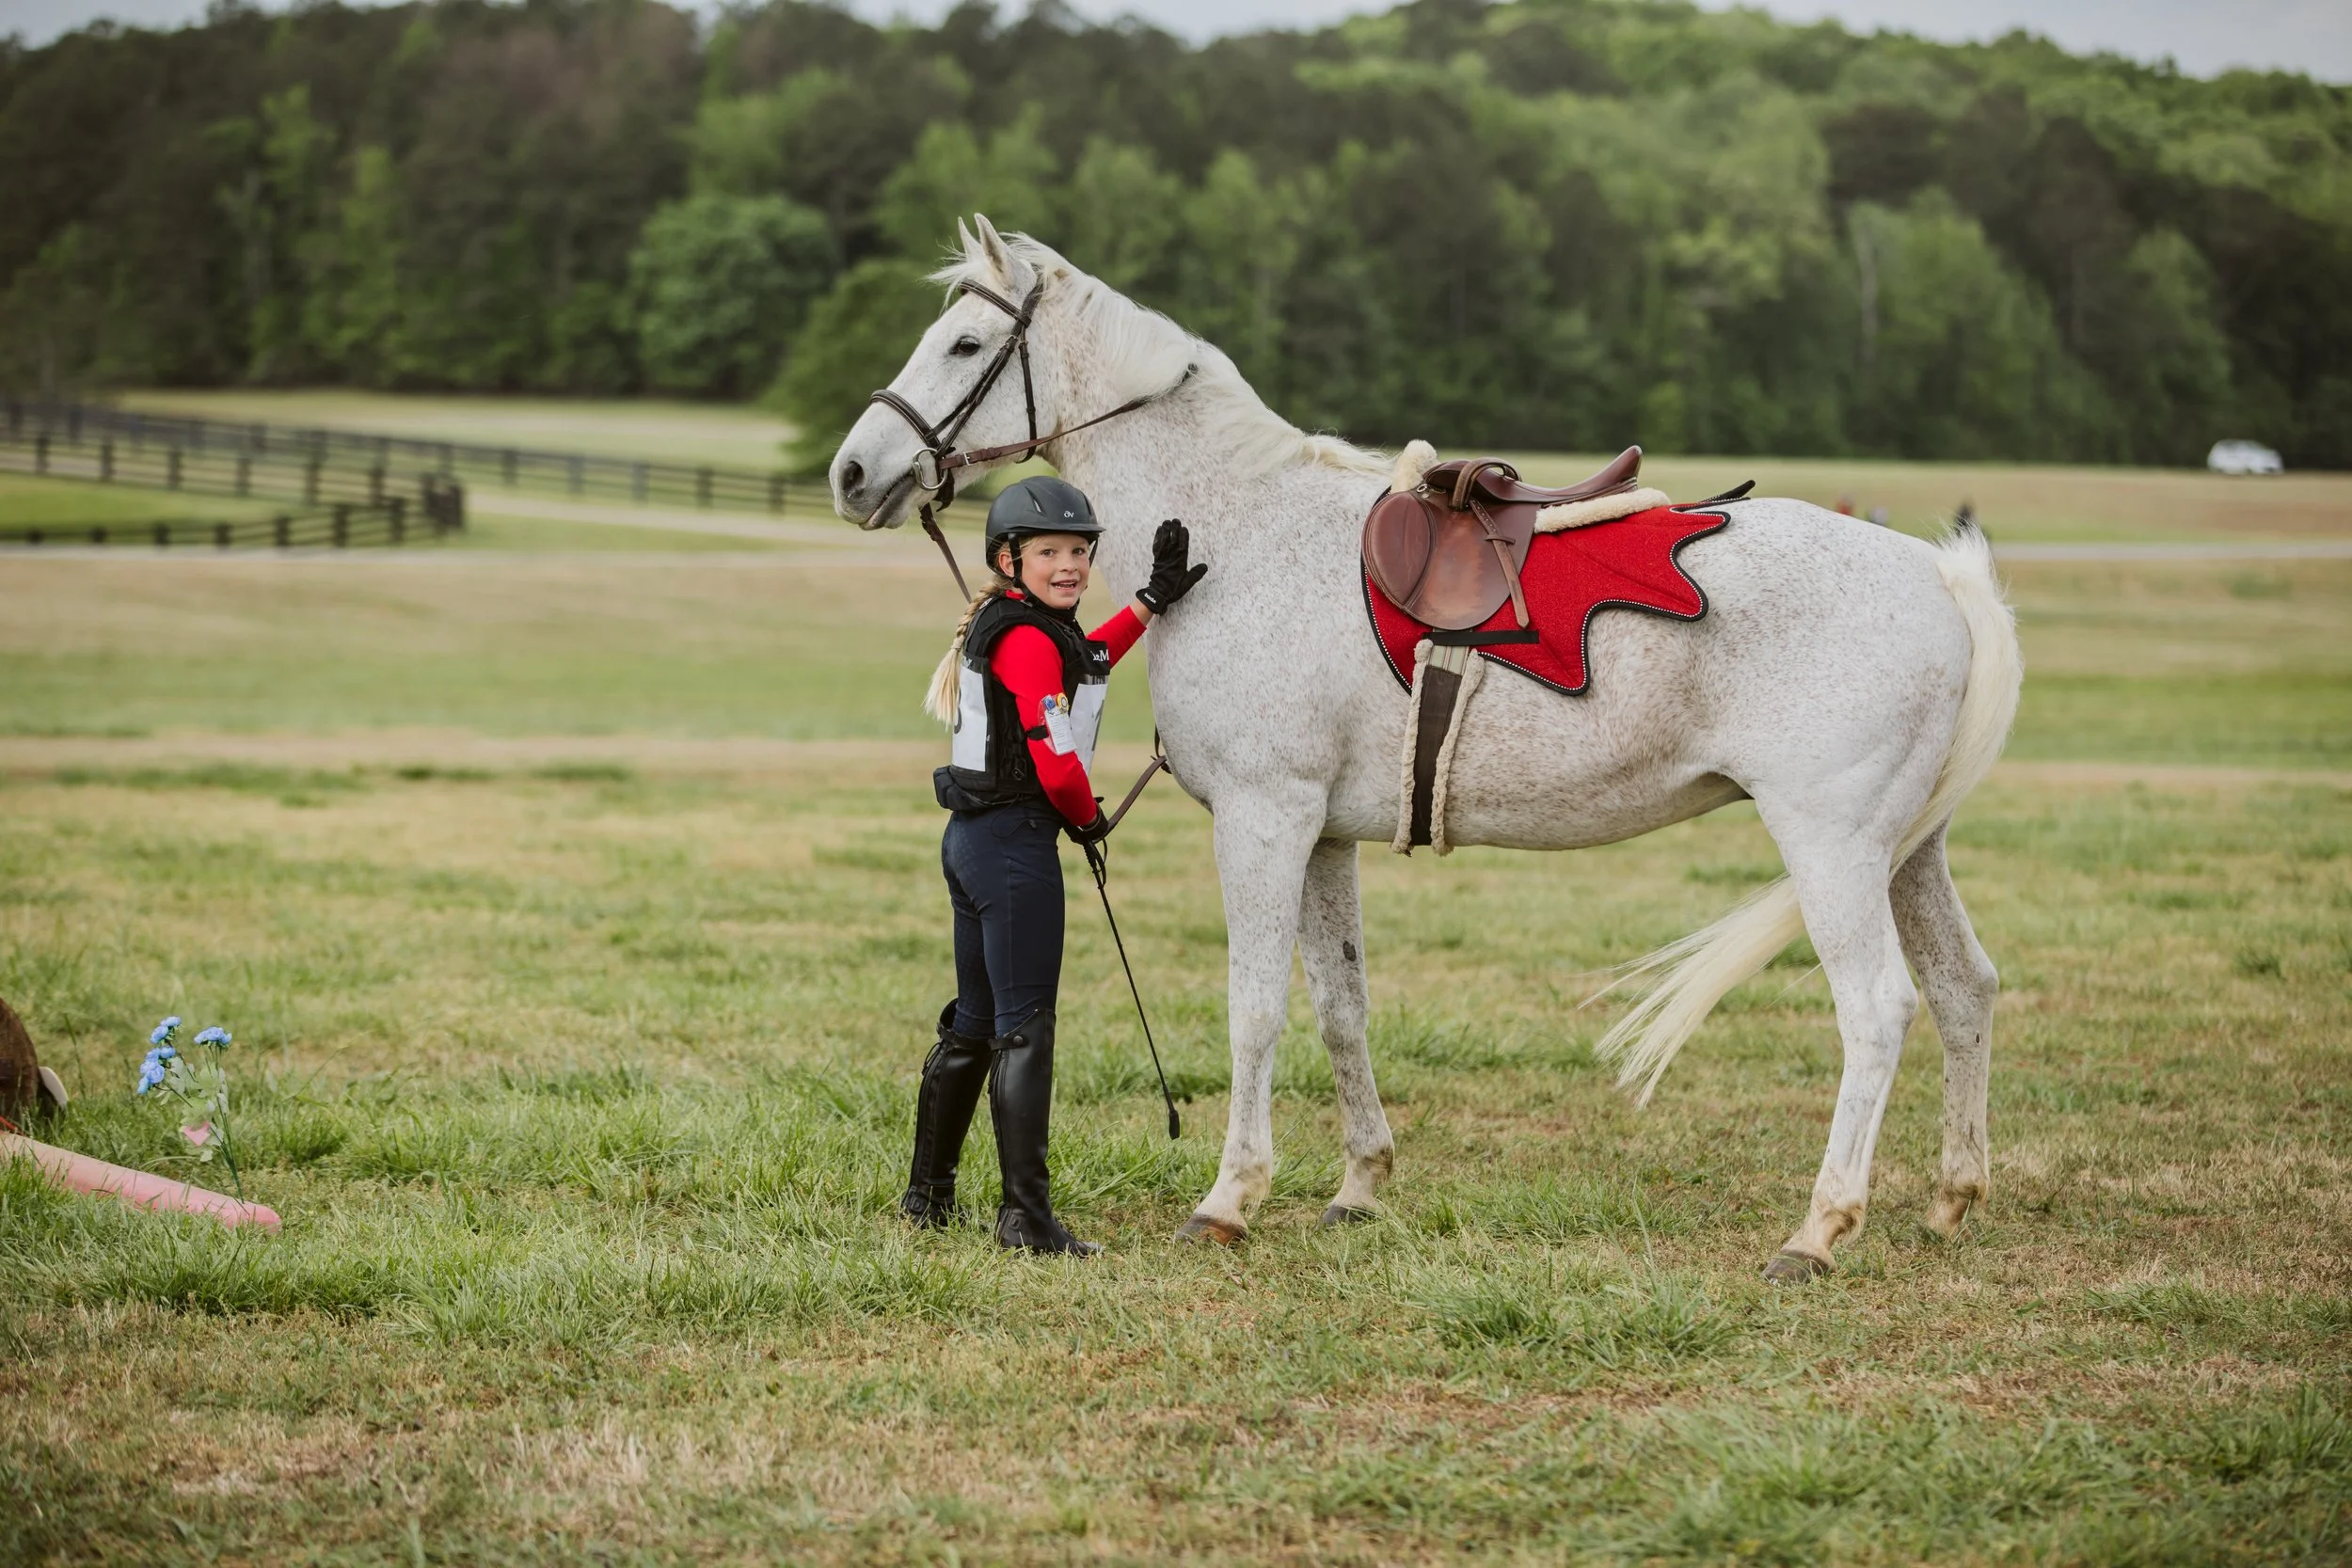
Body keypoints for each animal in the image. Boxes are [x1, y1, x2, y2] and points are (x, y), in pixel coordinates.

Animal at [829, 216, 2021, 1280]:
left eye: (964, 345)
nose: (851, 471)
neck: (1240, 535)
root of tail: (1937, 573)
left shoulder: (1265, 818)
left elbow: (1254, 1005)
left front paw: (1228, 1197)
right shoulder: (1321, 836)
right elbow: (1339, 1005)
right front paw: (1359, 1182)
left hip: (1830, 844)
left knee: (1878, 1008)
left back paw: (1818, 1229)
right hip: (1905, 849)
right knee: (1963, 987)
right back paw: (1950, 1196)